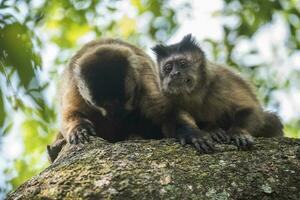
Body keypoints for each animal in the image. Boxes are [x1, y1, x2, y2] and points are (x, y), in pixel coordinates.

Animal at [152, 34, 284, 153]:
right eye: (168, 68)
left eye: (183, 64)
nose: (174, 74)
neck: (195, 93)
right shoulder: (166, 95)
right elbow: (169, 122)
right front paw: (201, 132)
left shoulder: (222, 80)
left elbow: (250, 108)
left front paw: (238, 132)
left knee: (272, 120)